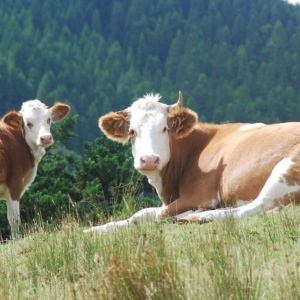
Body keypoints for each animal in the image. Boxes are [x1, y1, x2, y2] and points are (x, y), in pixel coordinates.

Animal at [83, 92, 300, 233]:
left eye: (164, 128)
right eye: (132, 132)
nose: (149, 160)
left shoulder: (202, 194)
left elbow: (159, 214)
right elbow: (139, 214)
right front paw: (95, 229)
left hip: (285, 169)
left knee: (255, 207)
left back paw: (197, 216)